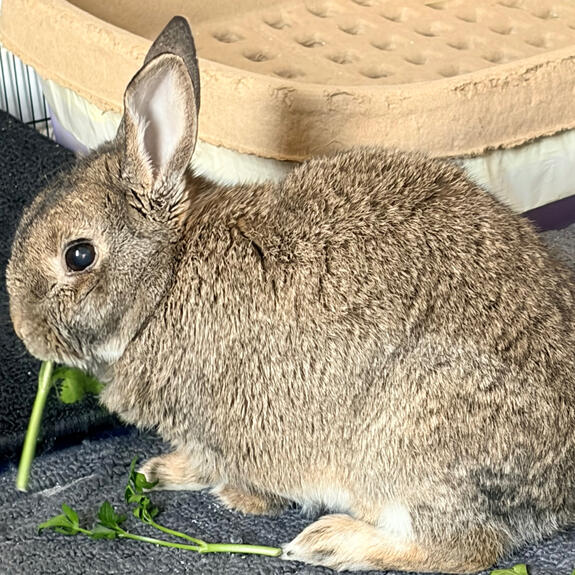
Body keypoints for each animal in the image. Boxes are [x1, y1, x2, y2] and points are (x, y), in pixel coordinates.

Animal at [6, 15, 575, 574]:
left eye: (79, 256)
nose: (25, 332)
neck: (167, 278)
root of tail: (559, 489)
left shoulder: (227, 427)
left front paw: (231, 497)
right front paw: (160, 471)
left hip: (408, 449)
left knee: (463, 548)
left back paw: (328, 542)